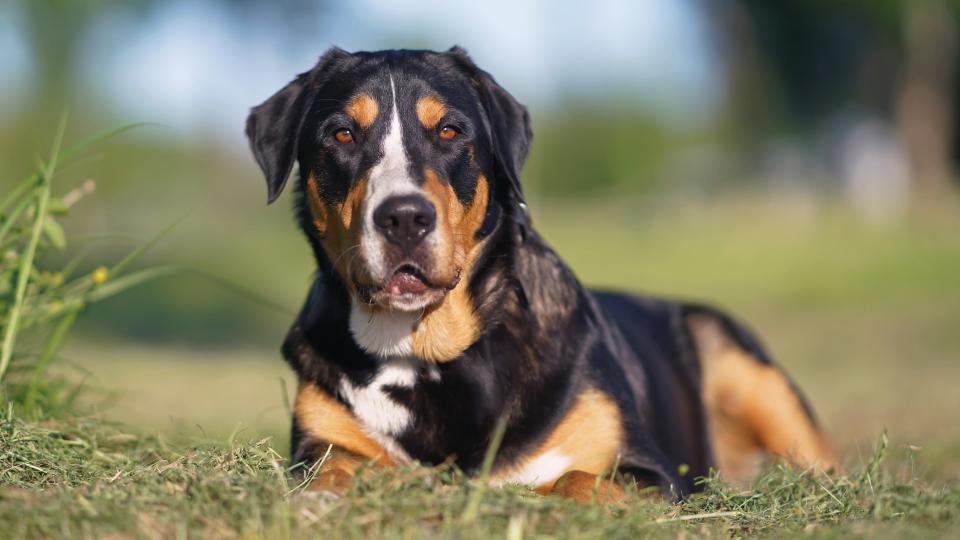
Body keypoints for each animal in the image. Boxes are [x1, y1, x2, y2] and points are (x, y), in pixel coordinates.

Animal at [244, 46, 836, 502]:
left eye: (449, 131)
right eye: (342, 135)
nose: (404, 217)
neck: (424, 354)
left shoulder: (651, 471)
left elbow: (575, 479)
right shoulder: (320, 443)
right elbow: (334, 471)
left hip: (747, 368)